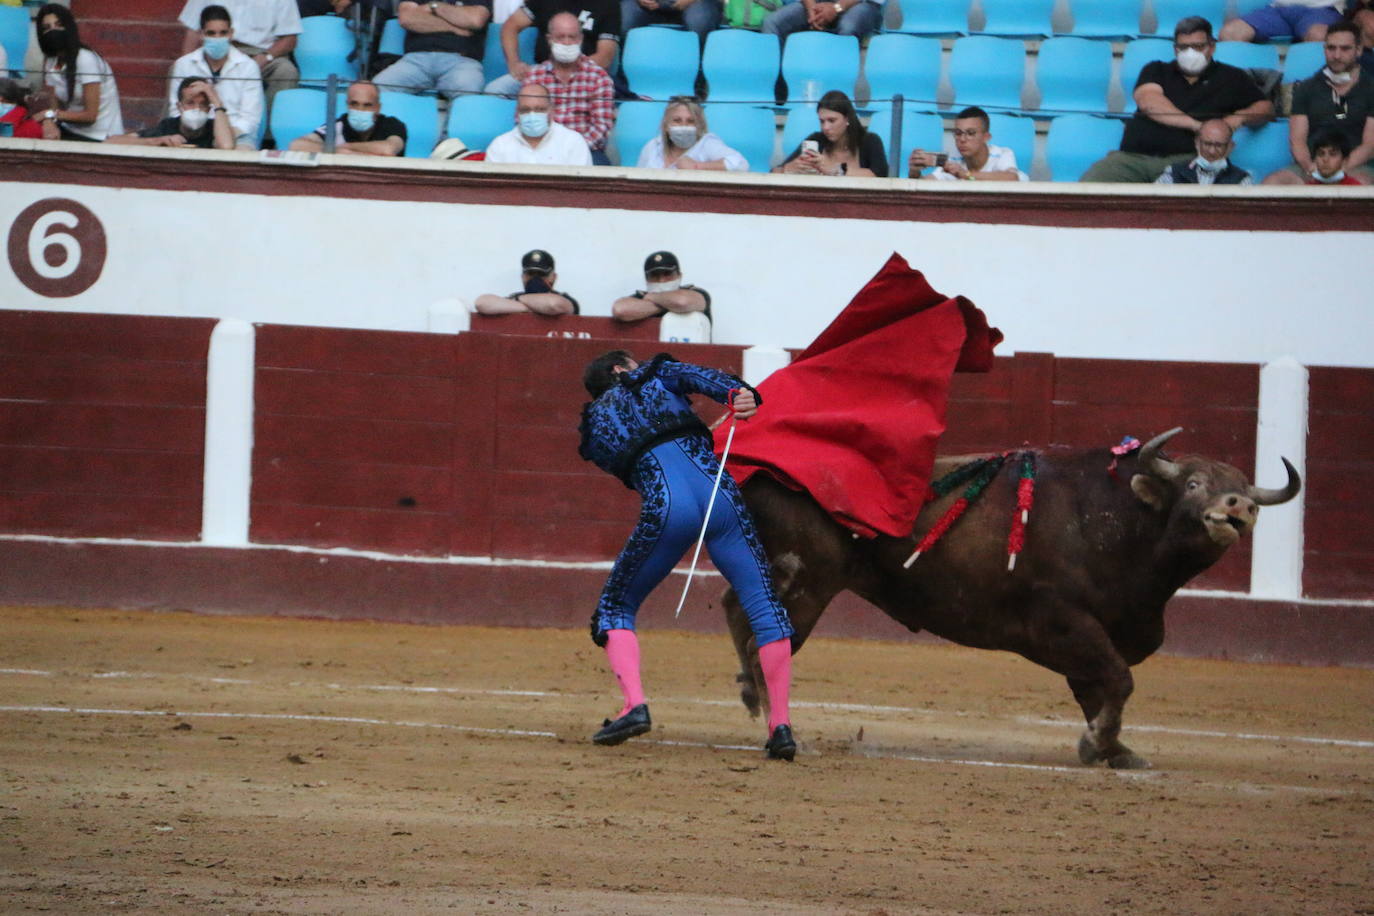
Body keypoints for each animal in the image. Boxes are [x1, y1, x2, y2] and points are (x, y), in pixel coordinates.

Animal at [725, 428, 1302, 769]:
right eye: (1195, 483)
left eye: (1243, 487)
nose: (1238, 507)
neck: (1121, 522)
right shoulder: (1064, 622)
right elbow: (1118, 679)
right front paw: (1099, 744)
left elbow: (1097, 690)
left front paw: (1114, 751)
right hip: (808, 582)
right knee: (767, 639)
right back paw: (775, 722)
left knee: (737, 610)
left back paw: (750, 695)